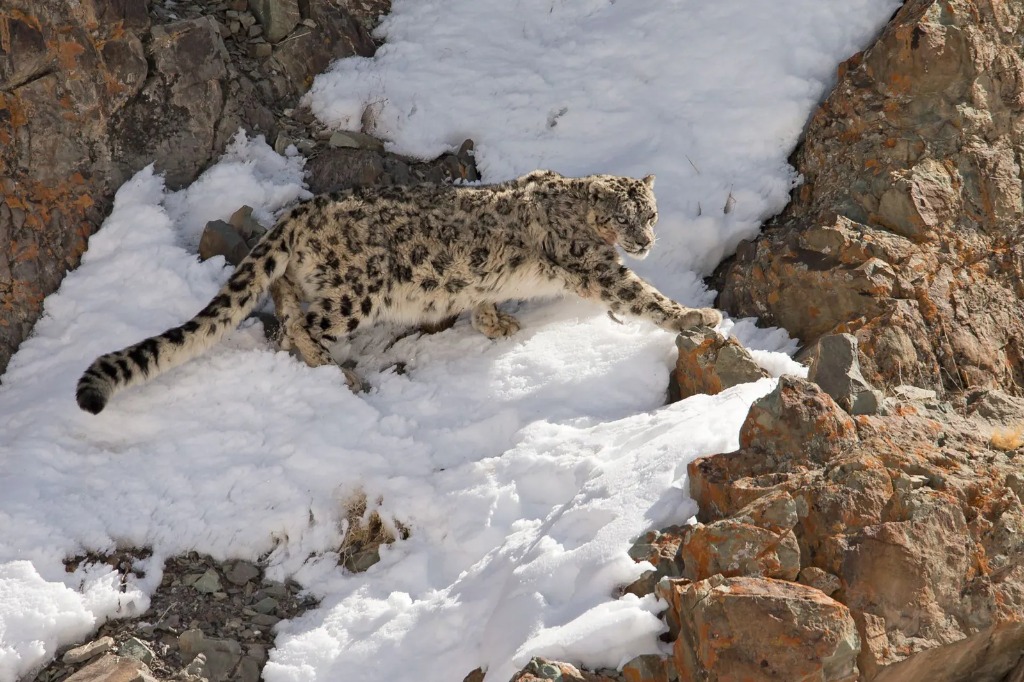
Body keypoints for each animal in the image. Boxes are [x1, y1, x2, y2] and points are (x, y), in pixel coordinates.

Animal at [76, 170, 722, 414]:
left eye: (652, 213)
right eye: (623, 217)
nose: (644, 240)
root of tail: (302, 211)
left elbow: (482, 295)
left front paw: (497, 323)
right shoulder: (597, 267)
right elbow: (643, 297)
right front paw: (698, 316)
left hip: (306, 275)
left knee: (283, 296)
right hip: (357, 293)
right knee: (303, 324)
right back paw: (339, 375)